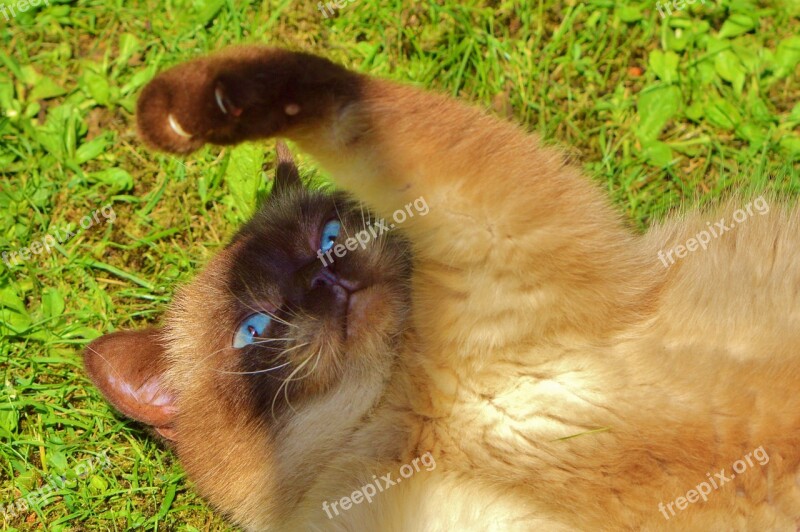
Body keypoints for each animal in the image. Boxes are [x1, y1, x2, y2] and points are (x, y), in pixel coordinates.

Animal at [84, 46, 800, 532]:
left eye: (329, 236)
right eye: (253, 330)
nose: (325, 279)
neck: (416, 409)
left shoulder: (494, 226)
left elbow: (335, 98)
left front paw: (191, 107)